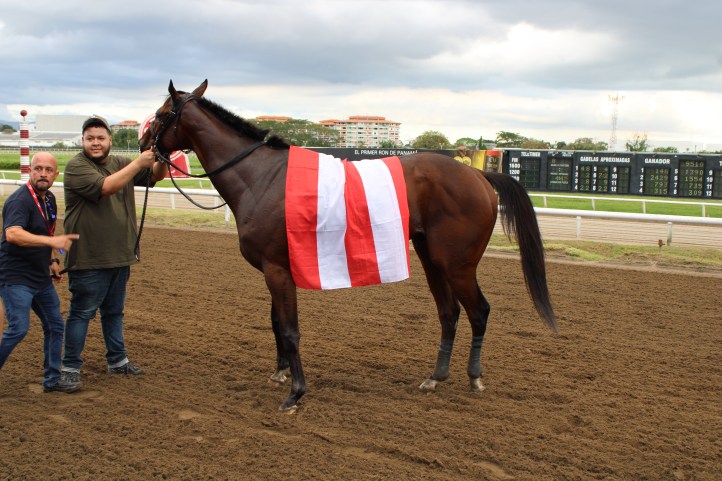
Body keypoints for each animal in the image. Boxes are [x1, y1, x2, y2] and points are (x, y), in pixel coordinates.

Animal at [139, 80, 557, 412]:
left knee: (479, 310)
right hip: (431, 258)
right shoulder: (274, 268)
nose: (143, 143)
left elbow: (290, 329)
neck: (261, 178)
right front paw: (280, 373)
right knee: (449, 312)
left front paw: (295, 393)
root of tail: (479, 175)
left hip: (457, 263)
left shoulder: (277, 269)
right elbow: (275, 323)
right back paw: (435, 376)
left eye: (159, 115)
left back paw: (474, 376)